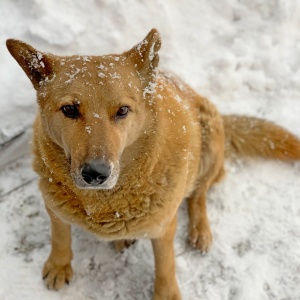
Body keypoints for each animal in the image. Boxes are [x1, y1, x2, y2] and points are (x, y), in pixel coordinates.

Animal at [5, 28, 300, 300]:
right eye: (69, 110)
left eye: (122, 111)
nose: (96, 174)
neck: (106, 202)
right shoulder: (54, 208)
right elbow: (59, 235)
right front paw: (59, 264)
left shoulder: (163, 227)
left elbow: (165, 265)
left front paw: (166, 292)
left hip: (209, 140)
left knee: (199, 194)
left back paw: (200, 229)